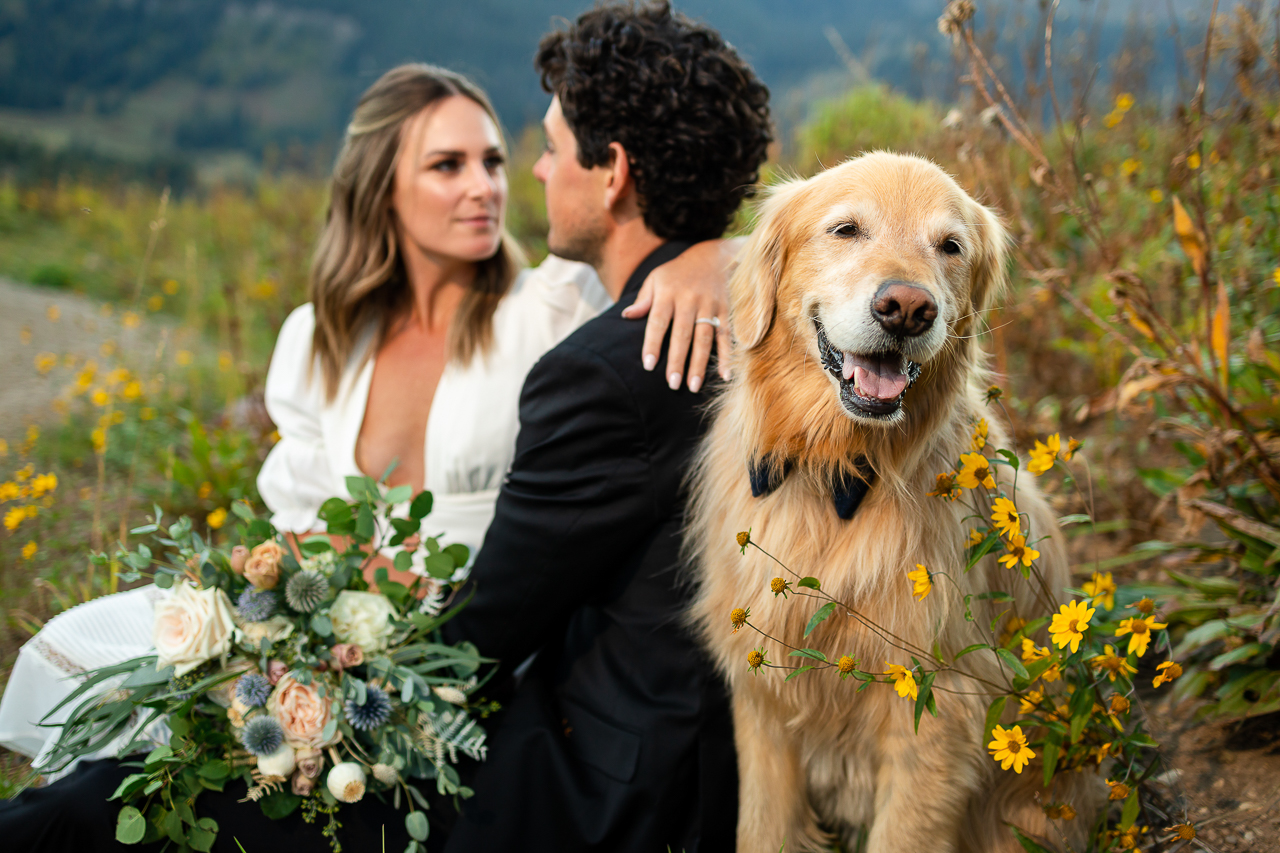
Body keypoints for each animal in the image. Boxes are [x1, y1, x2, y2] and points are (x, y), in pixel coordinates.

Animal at [686, 154, 1095, 850]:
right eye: (846, 229)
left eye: (951, 246)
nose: (907, 308)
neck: (835, 469)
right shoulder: (762, 705)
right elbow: (764, 828)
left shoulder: (937, 709)